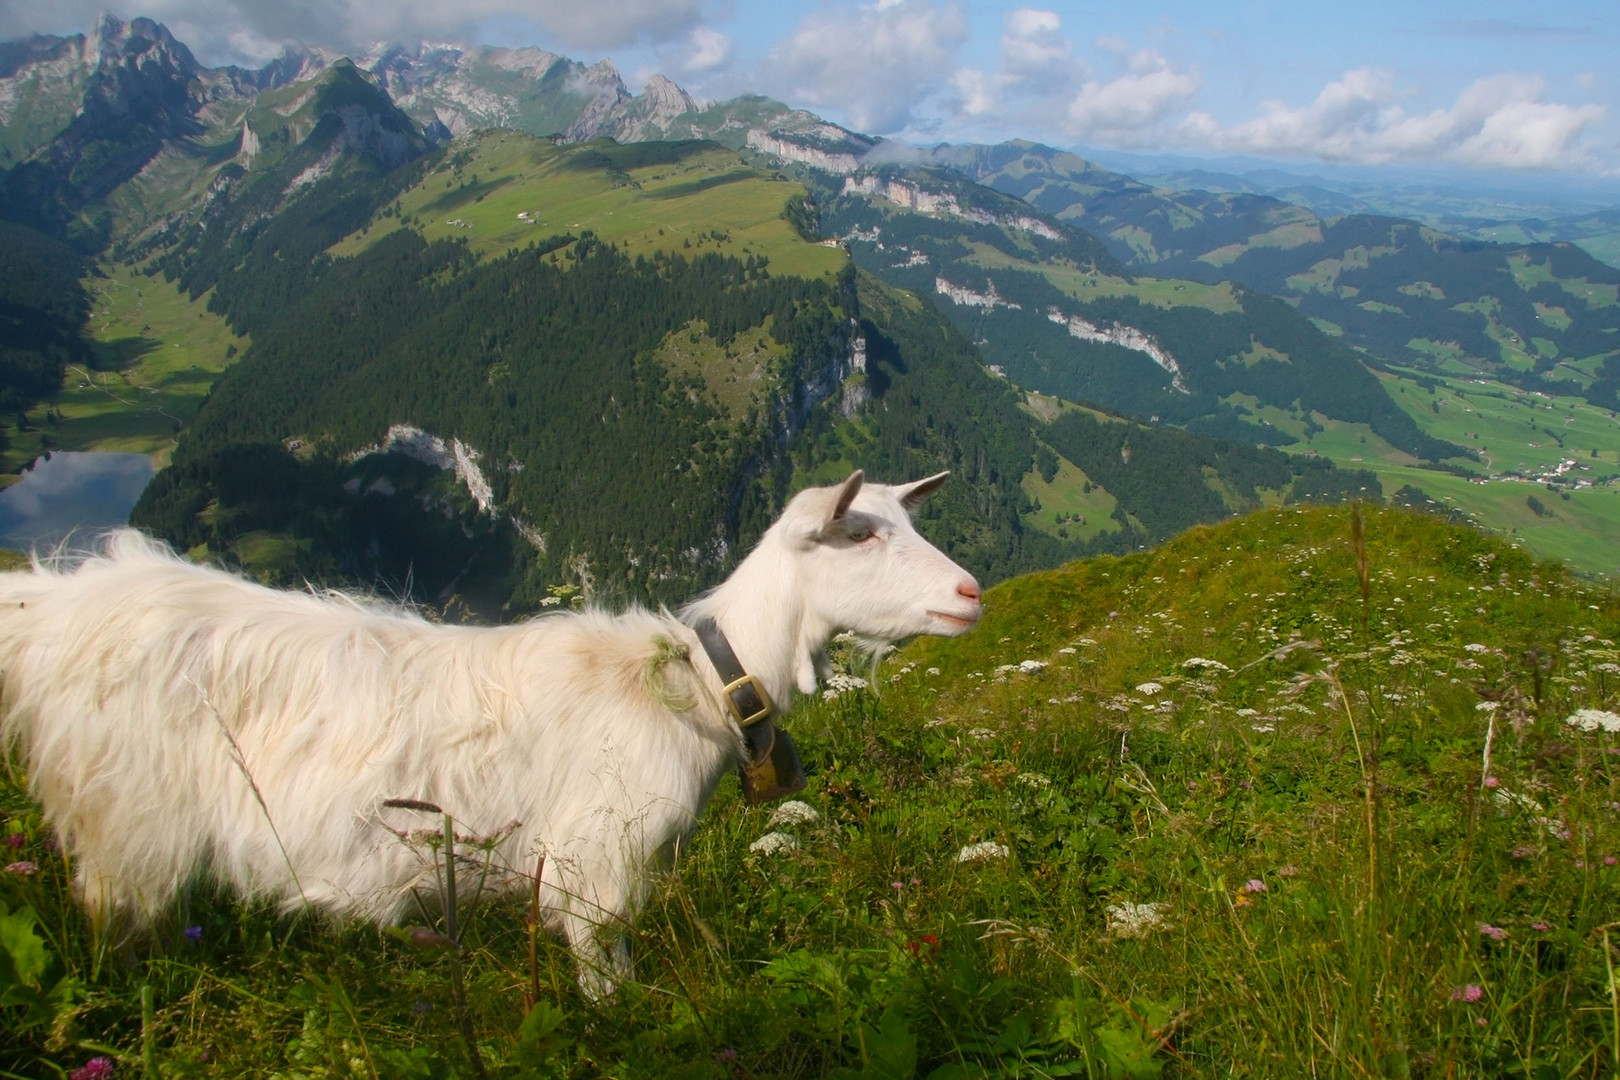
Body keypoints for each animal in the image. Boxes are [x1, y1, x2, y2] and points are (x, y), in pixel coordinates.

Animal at [0, 469, 978, 990]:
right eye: (858, 534)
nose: (971, 593)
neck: (692, 686)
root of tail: (51, 605)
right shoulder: (594, 863)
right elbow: (607, 982)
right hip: (125, 826)